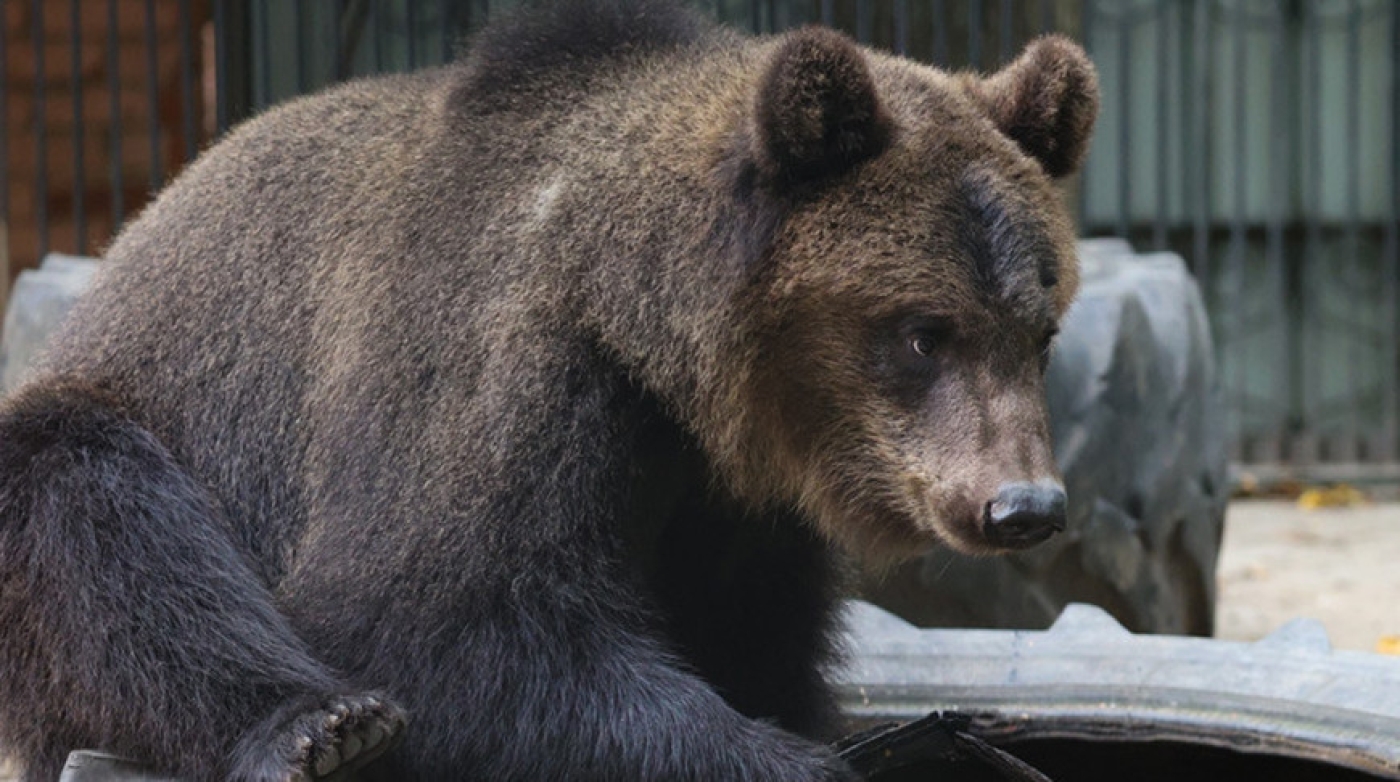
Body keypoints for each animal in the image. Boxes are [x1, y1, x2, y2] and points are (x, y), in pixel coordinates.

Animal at [0, 3, 1092, 777]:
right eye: (922, 331)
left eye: (1038, 330)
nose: (1022, 503)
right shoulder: (497, 367)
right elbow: (439, 617)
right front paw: (798, 762)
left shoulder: (727, 505)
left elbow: (759, 640)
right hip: (131, 415)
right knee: (94, 512)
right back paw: (318, 727)